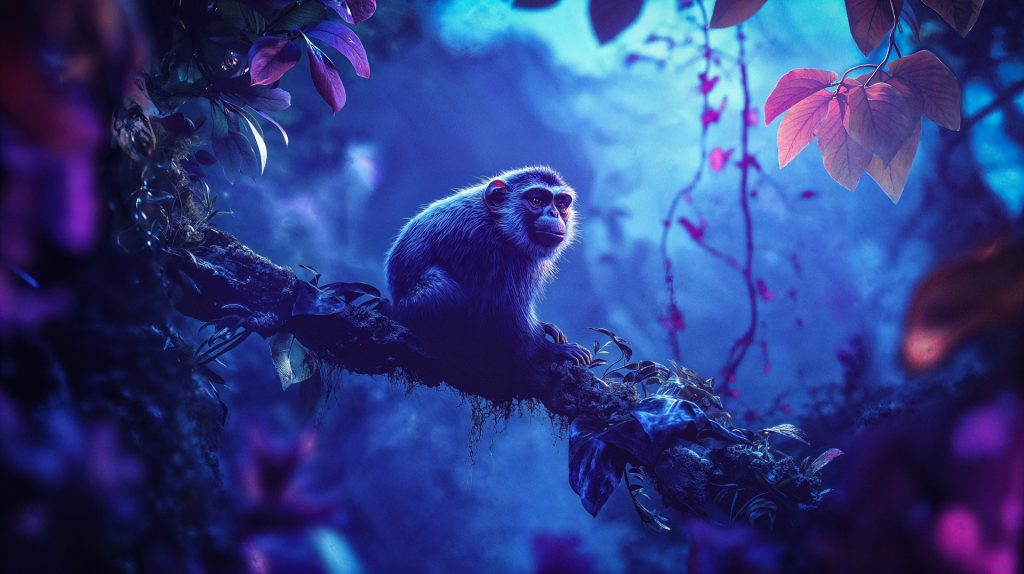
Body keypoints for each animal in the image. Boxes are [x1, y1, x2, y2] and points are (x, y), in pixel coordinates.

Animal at [384, 166, 591, 395]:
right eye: (537, 200)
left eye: (561, 204)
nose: (554, 213)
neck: (498, 224)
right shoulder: (492, 251)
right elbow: (505, 313)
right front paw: (550, 350)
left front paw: (547, 329)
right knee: (445, 289)